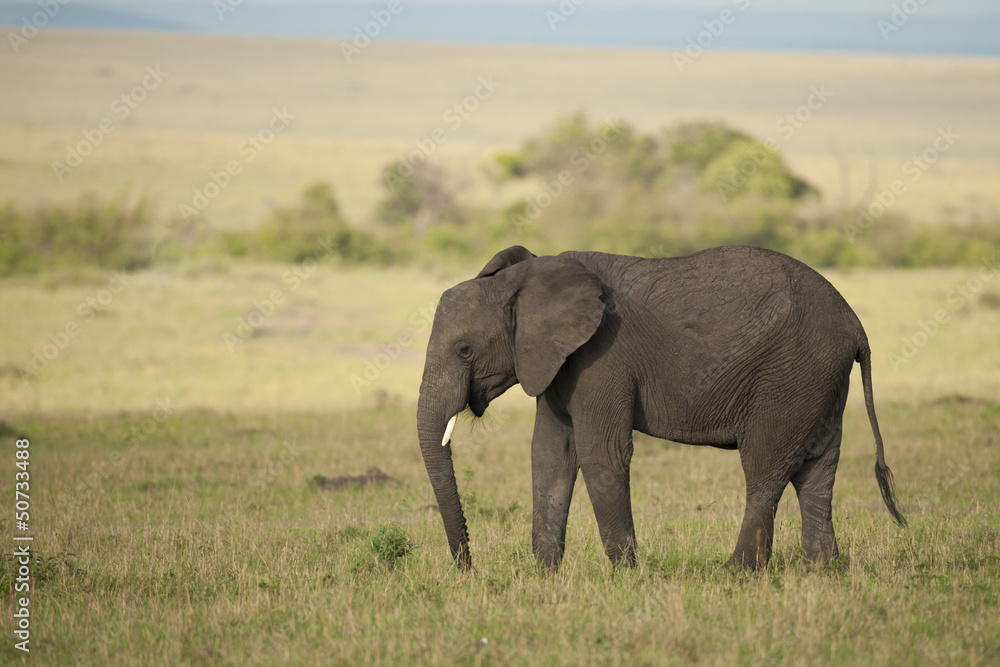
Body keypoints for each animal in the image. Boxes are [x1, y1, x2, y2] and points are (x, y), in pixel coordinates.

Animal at [414, 248, 908, 572]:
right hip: (819, 379)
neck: (528, 277)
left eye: (464, 350)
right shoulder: (555, 360)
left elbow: (600, 455)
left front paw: (625, 576)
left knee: (766, 464)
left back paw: (736, 573)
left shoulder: (602, 356)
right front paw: (544, 575)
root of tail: (855, 324)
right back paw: (822, 571)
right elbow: (550, 454)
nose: (468, 569)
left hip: (791, 373)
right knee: (818, 470)